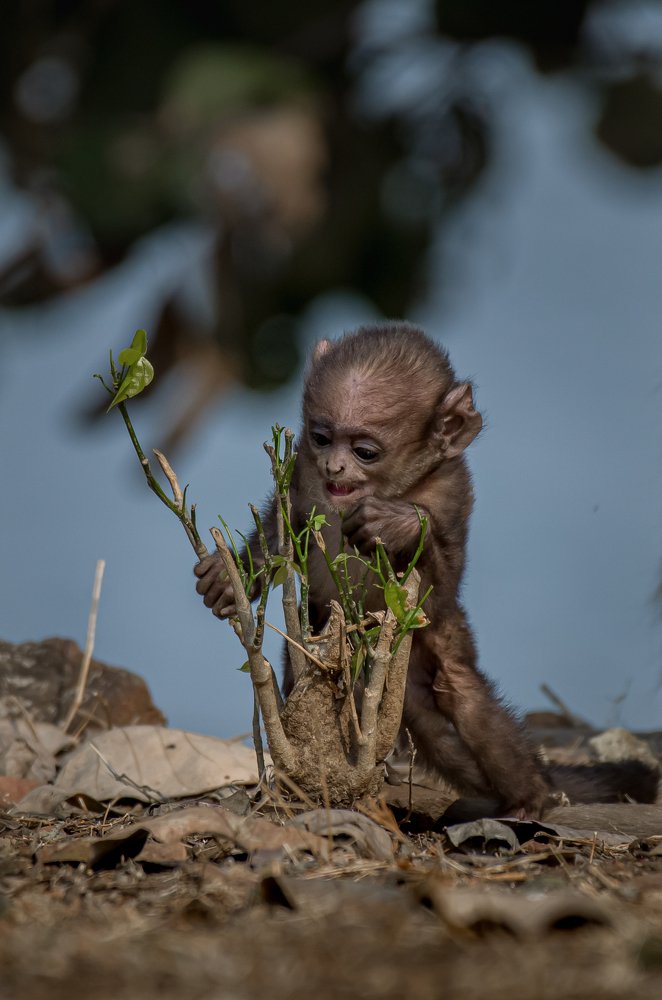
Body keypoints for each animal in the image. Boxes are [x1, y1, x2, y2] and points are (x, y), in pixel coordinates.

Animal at [195, 322, 659, 817]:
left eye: (364, 451)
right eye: (322, 438)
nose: (334, 467)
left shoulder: (452, 490)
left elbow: (442, 576)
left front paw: (396, 525)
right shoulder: (301, 465)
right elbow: (284, 531)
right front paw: (231, 575)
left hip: (434, 638)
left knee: (461, 692)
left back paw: (531, 796)